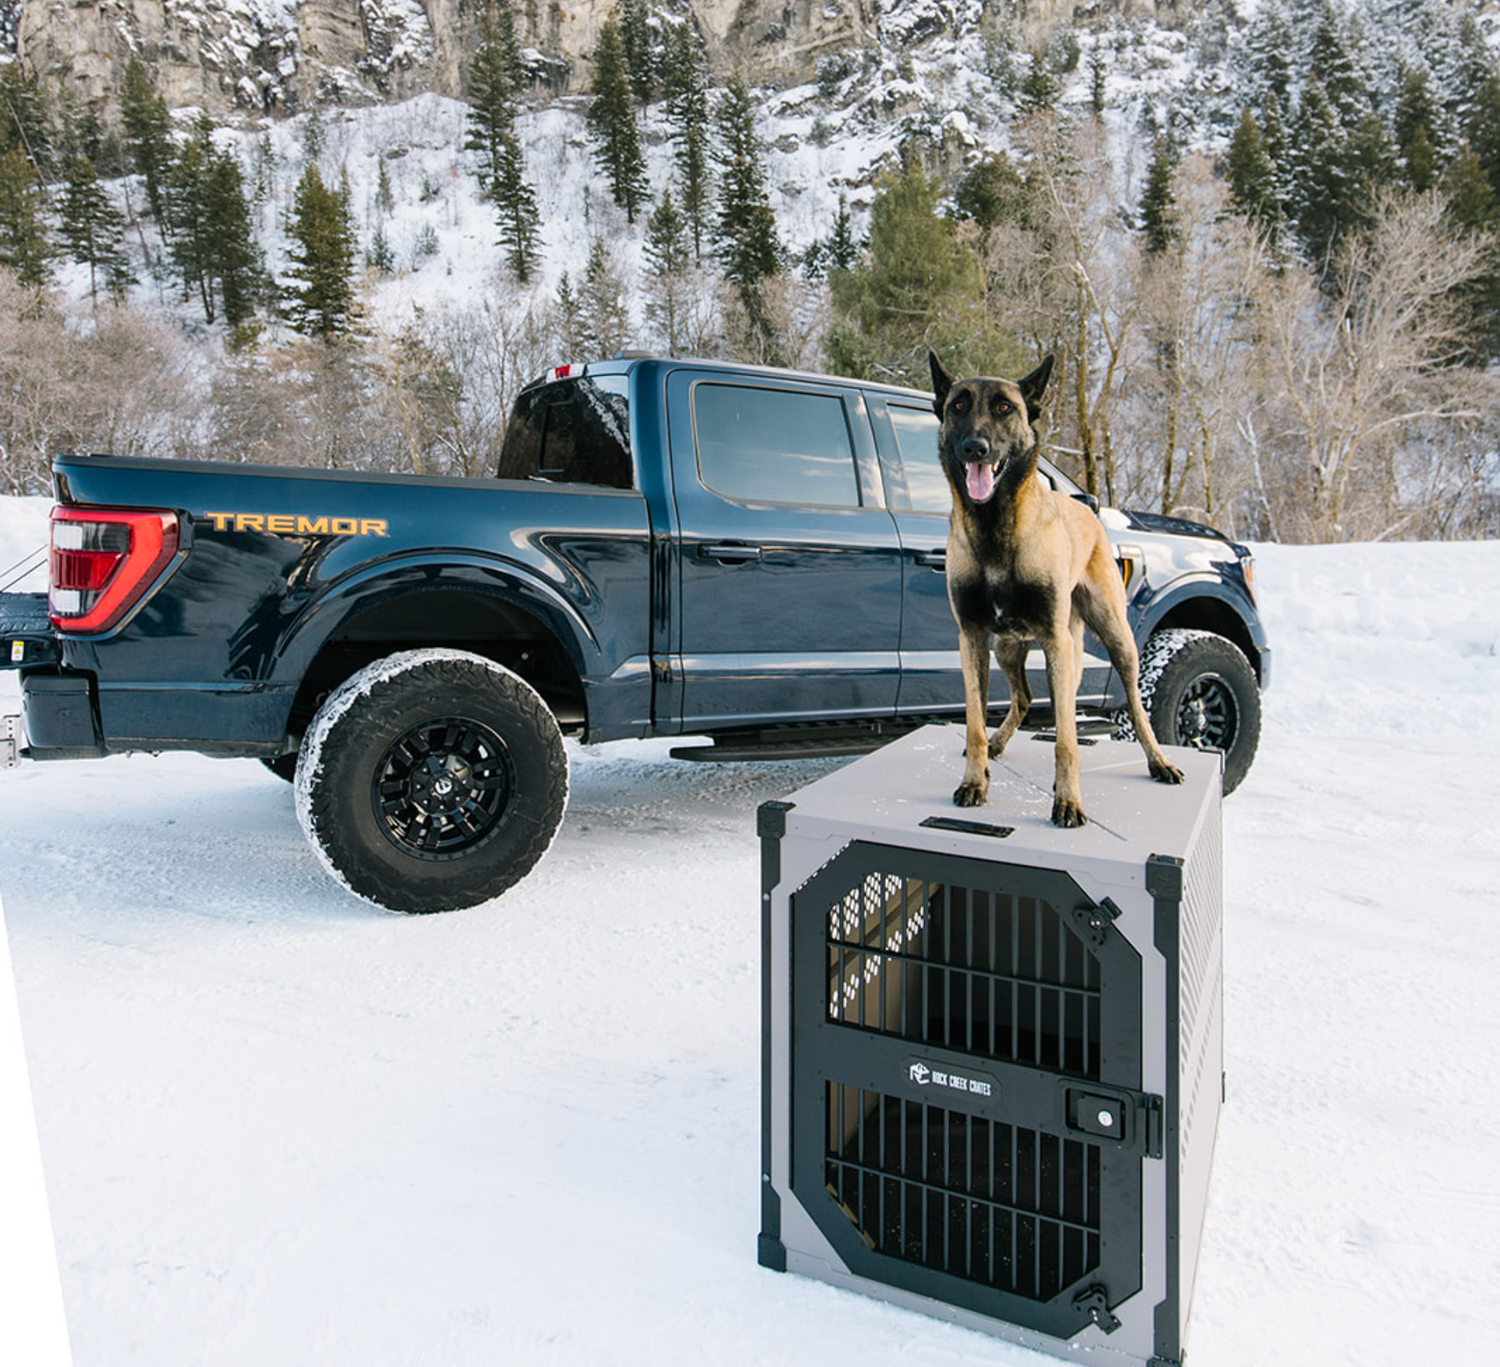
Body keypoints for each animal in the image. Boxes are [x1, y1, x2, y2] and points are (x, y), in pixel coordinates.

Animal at [924, 349, 1182, 822]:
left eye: (1004, 409)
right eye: (959, 406)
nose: (975, 447)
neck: (996, 529)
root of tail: (1087, 510)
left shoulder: (1055, 641)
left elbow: (1065, 738)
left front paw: (1068, 801)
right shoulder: (972, 637)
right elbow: (974, 724)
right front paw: (975, 780)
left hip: (1116, 638)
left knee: (1136, 706)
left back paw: (1158, 761)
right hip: (1007, 648)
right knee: (1023, 696)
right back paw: (997, 744)